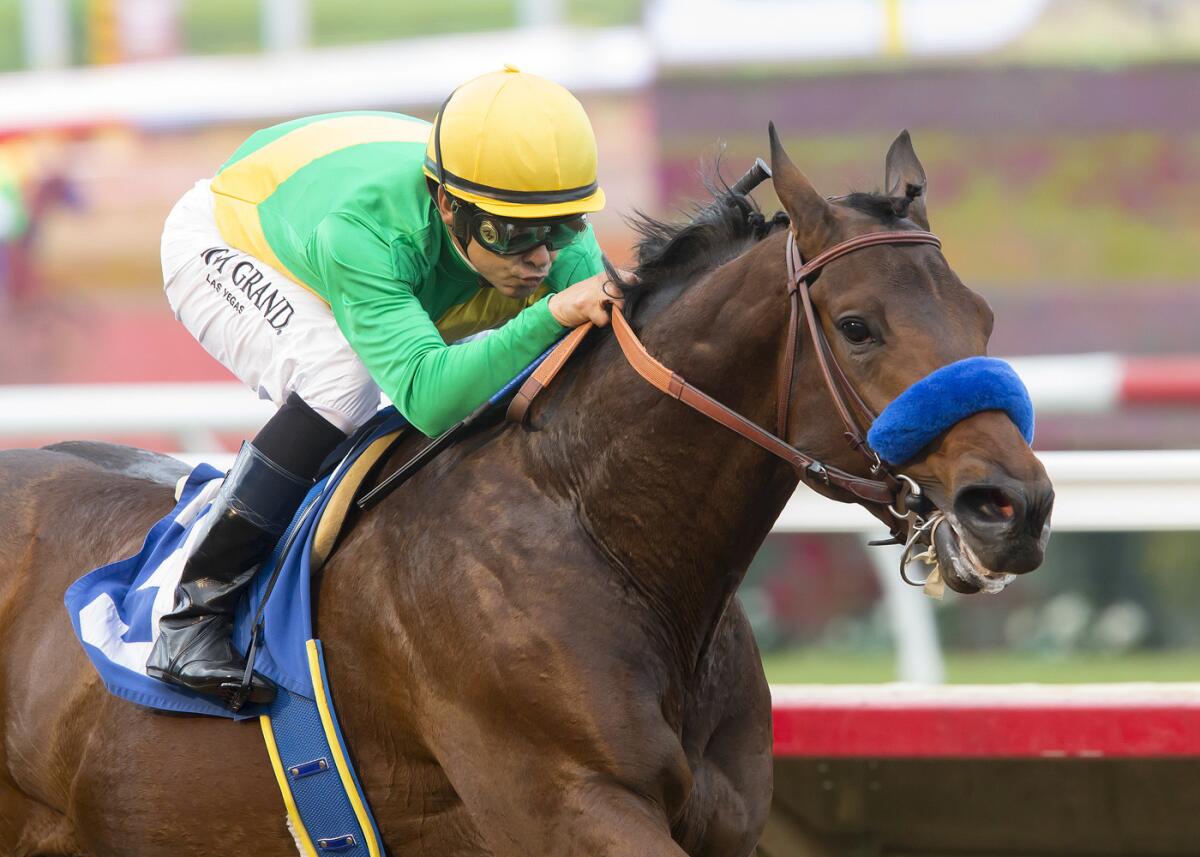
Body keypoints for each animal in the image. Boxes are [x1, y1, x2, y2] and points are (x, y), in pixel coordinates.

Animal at [0, 128, 1051, 854]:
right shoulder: (570, 800)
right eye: (859, 324)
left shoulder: (723, 823)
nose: (1013, 505)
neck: (596, 526)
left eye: (982, 315)